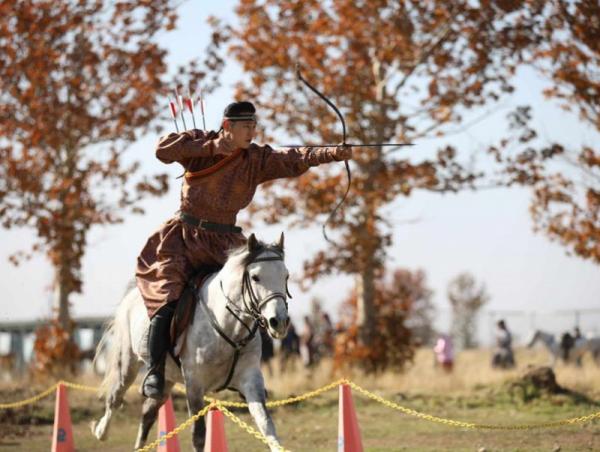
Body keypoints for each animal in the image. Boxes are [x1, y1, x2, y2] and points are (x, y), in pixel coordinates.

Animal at [90, 235, 292, 450]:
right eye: (255, 277)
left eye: (286, 276)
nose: (279, 322)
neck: (228, 327)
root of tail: (132, 296)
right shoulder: (194, 385)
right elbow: (199, 435)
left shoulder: (251, 380)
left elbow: (267, 426)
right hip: (127, 364)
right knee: (115, 398)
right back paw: (100, 431)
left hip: (167, 378)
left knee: (148, 411)